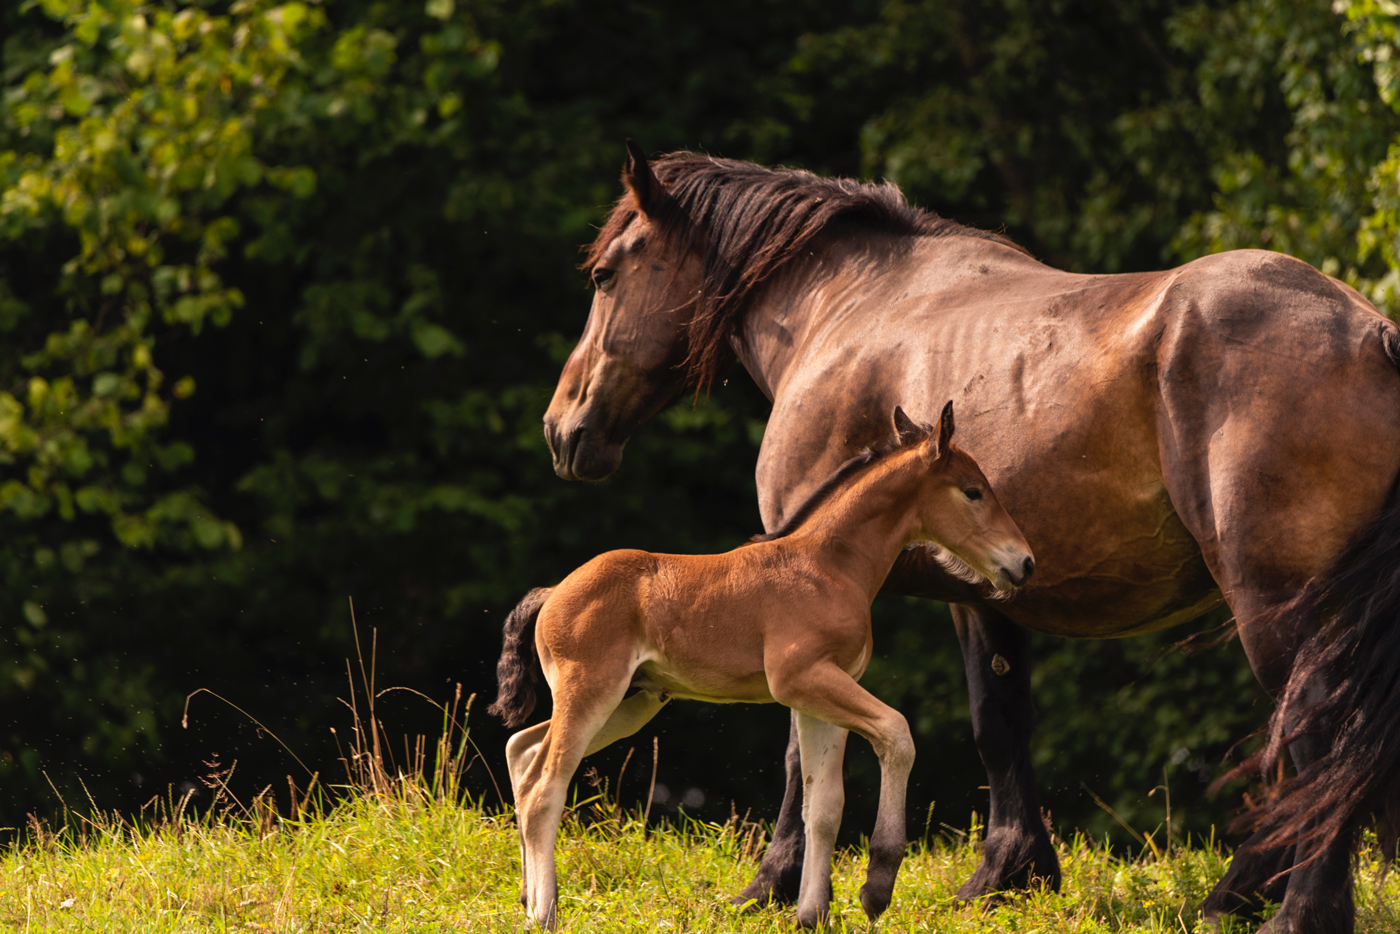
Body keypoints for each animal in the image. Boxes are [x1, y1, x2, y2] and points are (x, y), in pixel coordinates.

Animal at [487, 406, 1036, 929]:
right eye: (973, 491)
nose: (1025, 563)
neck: (829, 566)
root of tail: (553, 591)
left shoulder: (822, 696)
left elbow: (824, 806)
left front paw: (812, 915)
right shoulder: (803, 679)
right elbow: (897, 734)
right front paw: (876, 887)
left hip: (630, 701)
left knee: (522, 751)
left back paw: (526, 898)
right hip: (592, 691)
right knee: (544, 785)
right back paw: (544, 913)